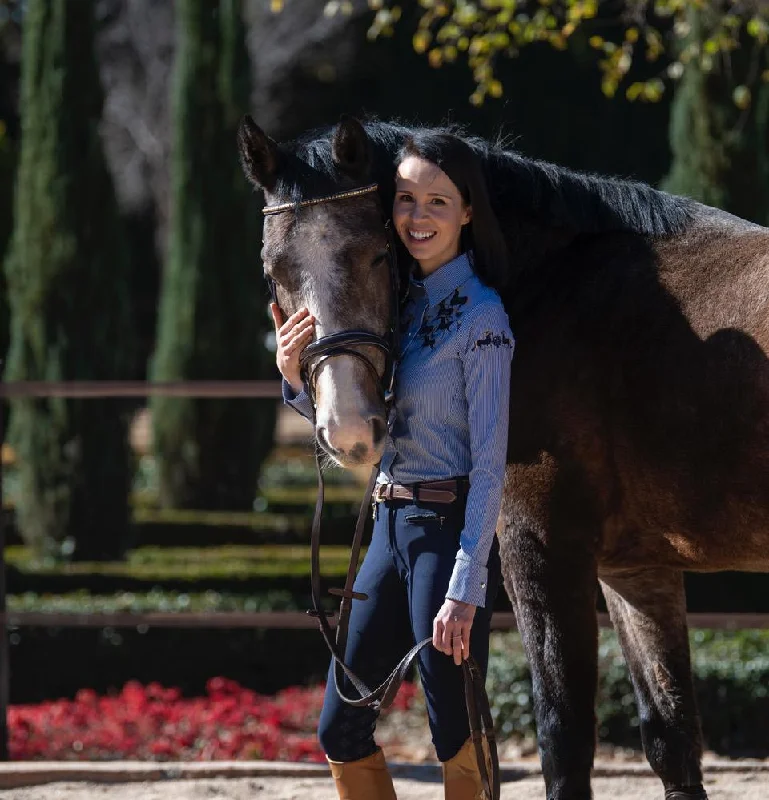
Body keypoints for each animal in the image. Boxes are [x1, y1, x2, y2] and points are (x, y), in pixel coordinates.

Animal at [236, 115, 768, 800]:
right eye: (273, 268)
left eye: (377, 253)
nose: (349, 427)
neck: (550, 289)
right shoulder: (636, 570)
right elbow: (671, 739)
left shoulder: (538, 547)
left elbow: (563, 740)